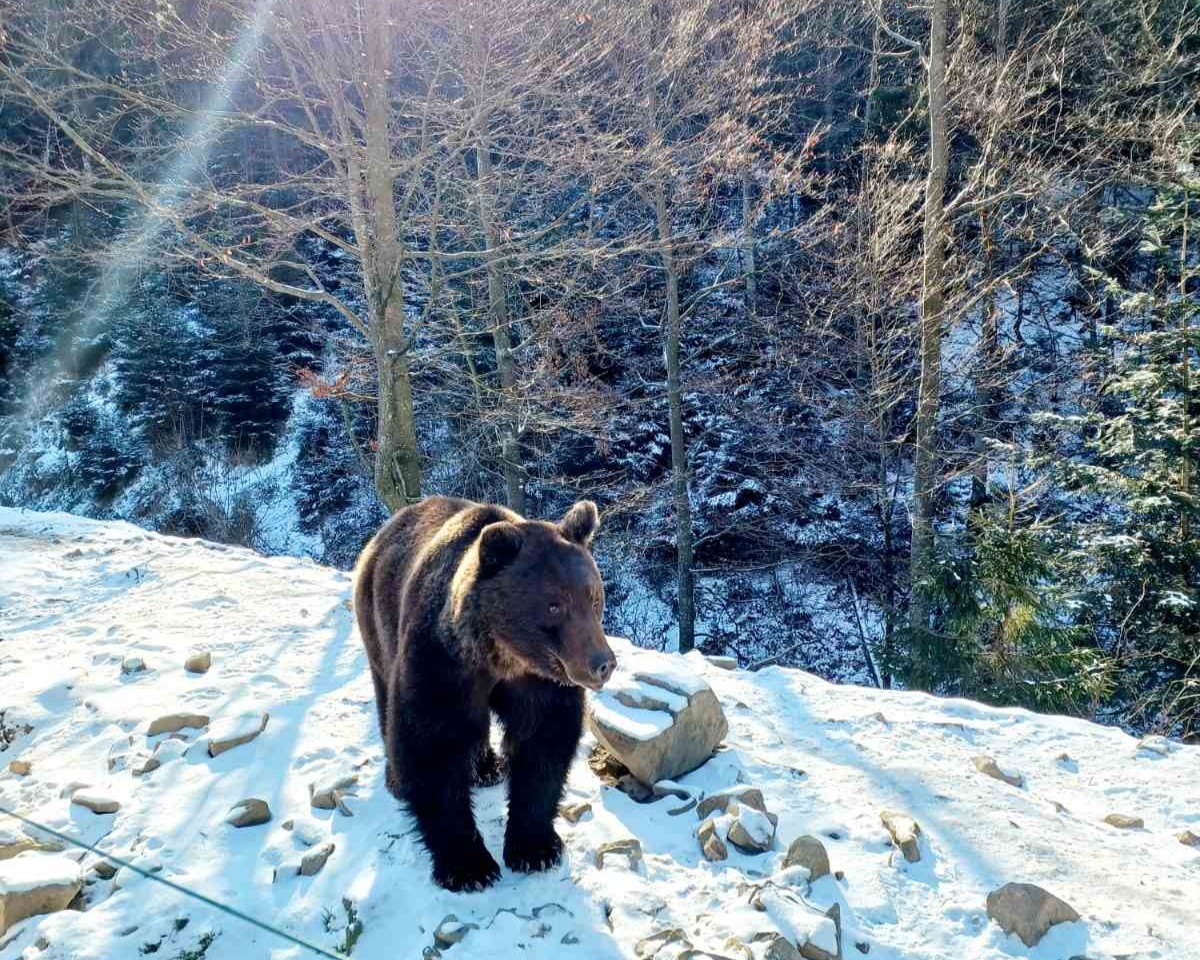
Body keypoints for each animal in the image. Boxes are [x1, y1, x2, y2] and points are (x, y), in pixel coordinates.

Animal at [350, 494, 614, 892]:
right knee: (386, 700)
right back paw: (397, 780)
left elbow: (543, 746)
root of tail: (386, 528)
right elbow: (430, 746)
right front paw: (469, 866)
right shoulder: (440, 663)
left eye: (594, 598)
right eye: (555, 604)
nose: (603, 663)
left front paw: (534, 848)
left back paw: (487, 766)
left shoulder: (538, 683)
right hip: (379, 623)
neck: (498, 655)